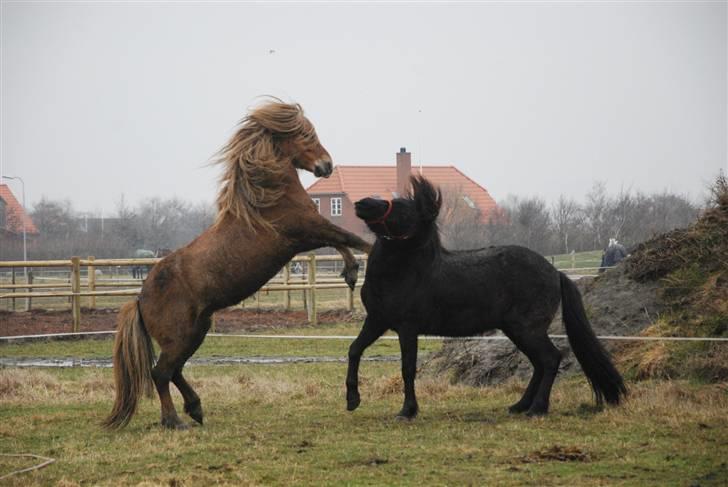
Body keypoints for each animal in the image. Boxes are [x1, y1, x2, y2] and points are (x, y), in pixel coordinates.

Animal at [104, 101, 370, 428]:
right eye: (306, 134)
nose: (326, 165)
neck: (268, 196)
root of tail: (140, 299)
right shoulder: (306, 230)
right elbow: (353, 239)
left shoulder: (308, 235)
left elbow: (343, 242)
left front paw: (351, 272)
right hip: (181, 337)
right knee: (161, 373)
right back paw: (174, 420)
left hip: (195, 331)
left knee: (175, 370)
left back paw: (195, 409)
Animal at [348, 176, 624, 420]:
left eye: (405, 210)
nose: (362, 203)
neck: (404, 271)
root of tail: (555, 272)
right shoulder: (377, 321)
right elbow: (354, 350)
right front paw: (352, 400)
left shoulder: (407, 328)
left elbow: (407, 368)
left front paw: (407, 411)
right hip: (516, 330)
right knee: (539, 363)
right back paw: (520, 405)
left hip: (527, 329)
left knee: (550, 359)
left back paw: (537, 409)